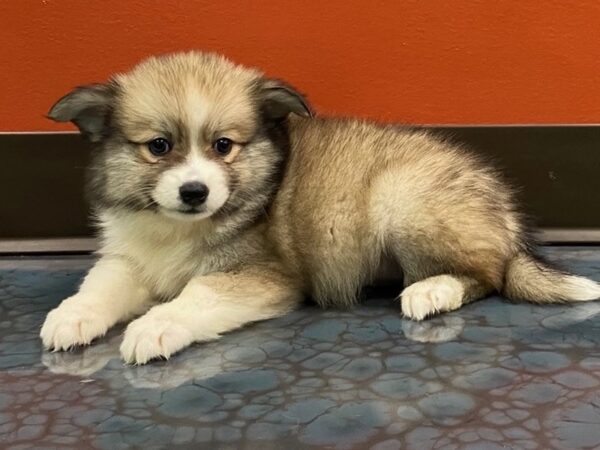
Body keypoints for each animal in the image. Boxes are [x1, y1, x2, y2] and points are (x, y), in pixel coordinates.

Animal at [41, 51, 600, 364]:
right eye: (158, 146)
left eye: (224, 146)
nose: (194, 192)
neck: (177, 230)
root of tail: (508, 221)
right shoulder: (130, 256)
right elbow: (101, 283)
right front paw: (72, 317)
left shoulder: (263, 275)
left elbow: (198, 292)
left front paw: (156, 326)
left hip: (400, 199)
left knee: (489, 274)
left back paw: (431, 291)